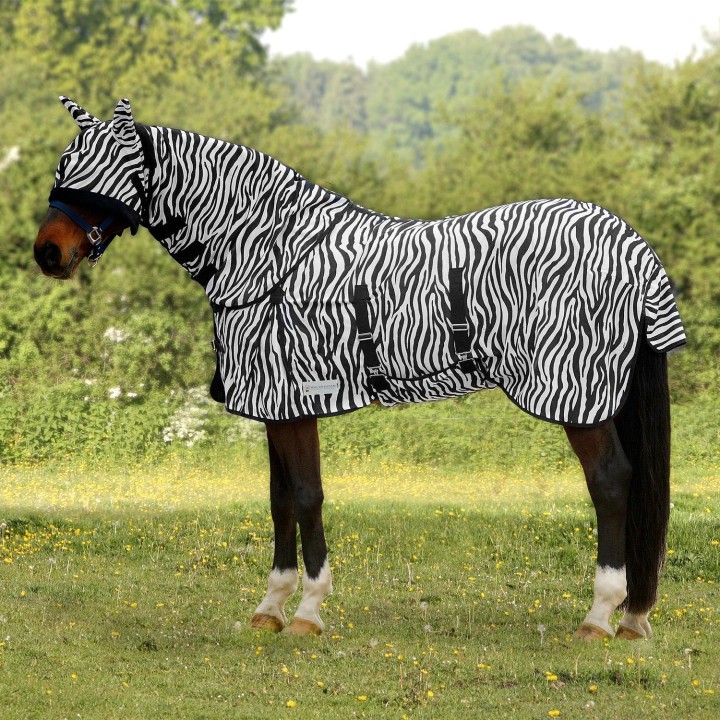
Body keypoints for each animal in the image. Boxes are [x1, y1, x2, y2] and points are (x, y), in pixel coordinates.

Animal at [36, 97, 685, 639]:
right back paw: (632, 617)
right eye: (66, 163)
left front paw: (307, 611)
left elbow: (306, 496)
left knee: (611, 483)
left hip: (580, 396)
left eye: (104, 172)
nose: (47, 252)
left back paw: (600, 616)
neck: (269, 253)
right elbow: (279, 498)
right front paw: (270, 607)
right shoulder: (276, 406)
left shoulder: (294, 400)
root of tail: (631, 246)